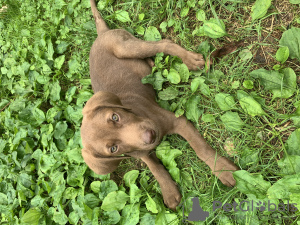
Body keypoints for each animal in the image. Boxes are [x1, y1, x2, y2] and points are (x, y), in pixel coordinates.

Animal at [81, 0, 240, 211]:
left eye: (115, 116)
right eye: (113, 149)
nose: (150, 135)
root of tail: (101, 34)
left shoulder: (179, 121)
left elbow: (201, 148)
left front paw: (224, 171)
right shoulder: (140, 152)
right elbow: (154, 166)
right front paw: (169, 190)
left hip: (125, 47)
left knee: (164, 43)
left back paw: (190, 60)